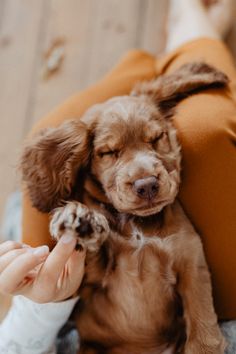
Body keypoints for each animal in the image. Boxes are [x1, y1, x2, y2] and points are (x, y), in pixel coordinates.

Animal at [21, 62, 229, 352]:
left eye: (156, 138)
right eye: (108, 152)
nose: (147, 185)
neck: (138, 227)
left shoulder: (191, 263)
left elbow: (201, 328)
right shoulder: (85, 284)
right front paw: (80, 218)